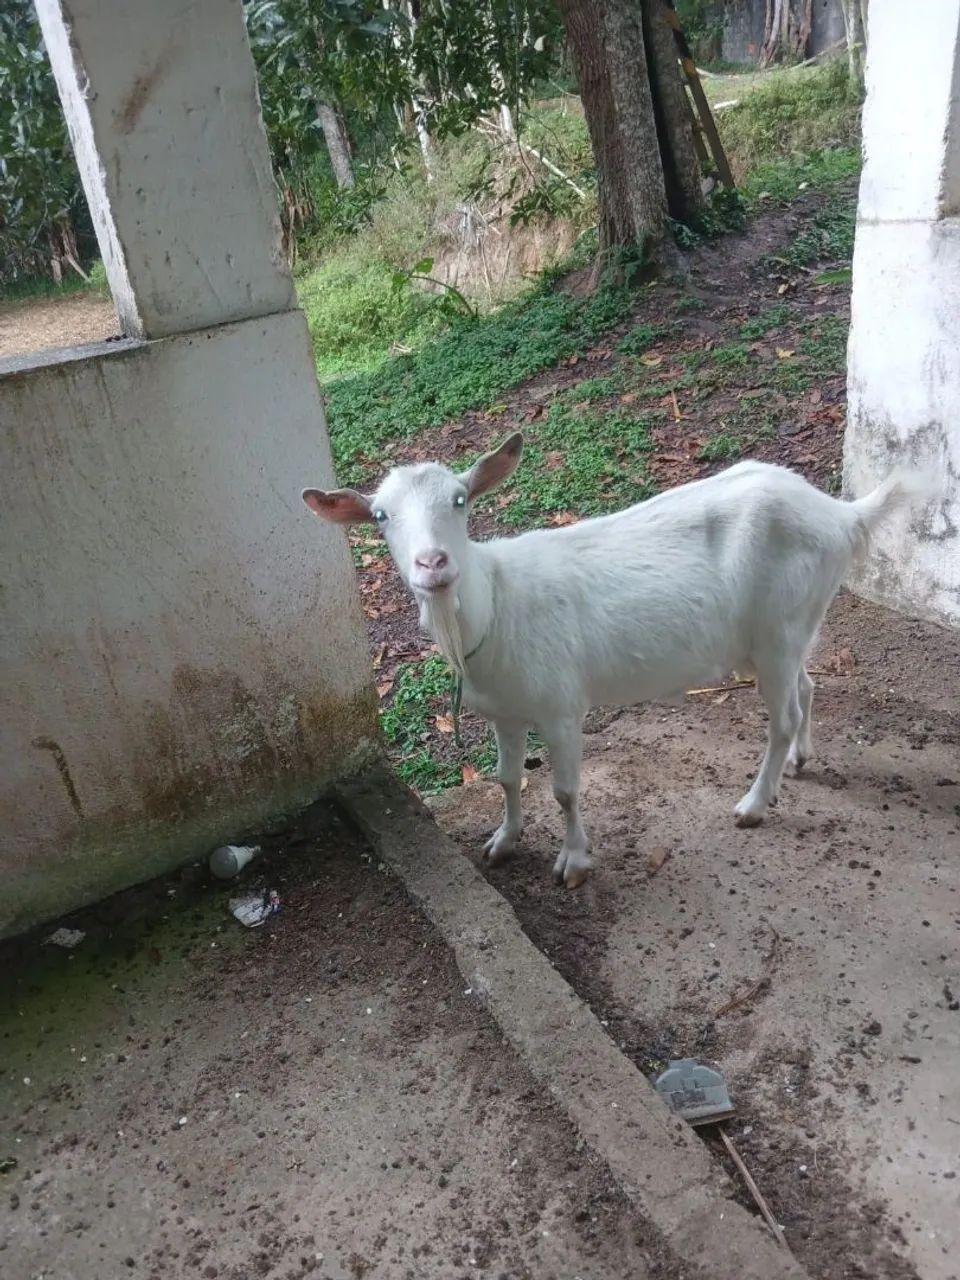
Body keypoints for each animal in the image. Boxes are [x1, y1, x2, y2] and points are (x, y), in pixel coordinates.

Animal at [303, 433, 932, 888]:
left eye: (460, 500)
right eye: (381, 516)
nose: (432, 563)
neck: (493, 608)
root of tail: (842, 515)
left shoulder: (560, 705)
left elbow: (564, 790)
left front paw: (574, 861)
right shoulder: (506, 711)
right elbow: (507, 777)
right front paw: (503, 842)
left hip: (780, 626)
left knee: (782, 718)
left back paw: (754, 804)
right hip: (784, 630)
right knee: (806, 688)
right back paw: (799, 763)